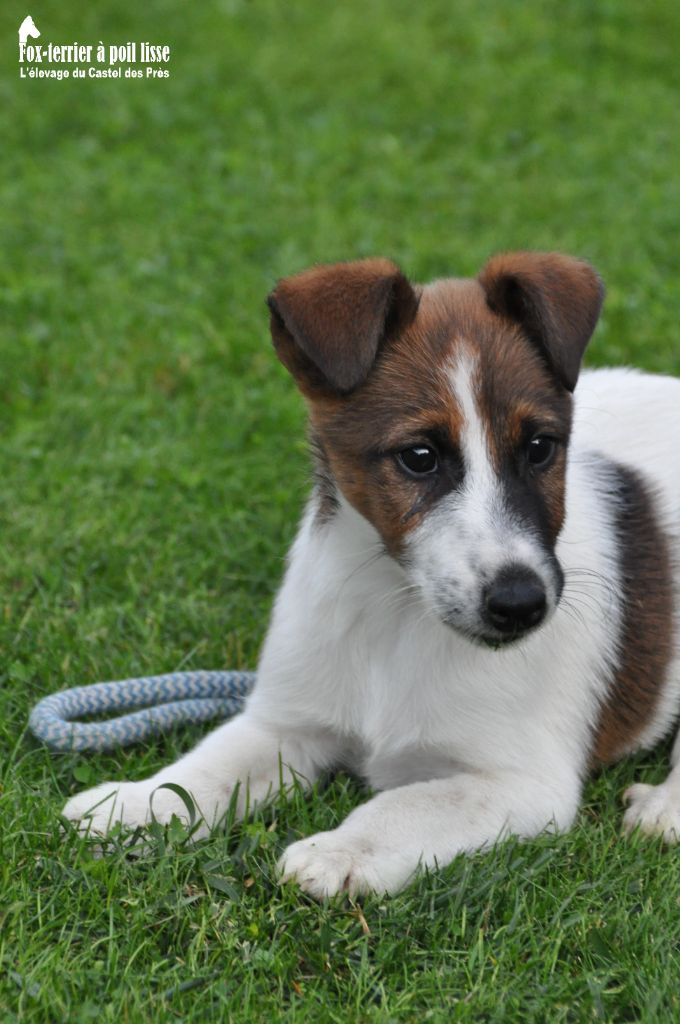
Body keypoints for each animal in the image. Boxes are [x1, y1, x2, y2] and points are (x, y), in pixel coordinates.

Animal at [63, 253, 680, 897]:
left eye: (539, 447)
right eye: (419, 457)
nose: (520, 604)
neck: (398, 613)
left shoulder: (523, 783)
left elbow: (403, 807)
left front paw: (337, 851)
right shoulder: (286, 722)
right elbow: (207, 768)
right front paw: (134, 807)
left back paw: (664, 807)